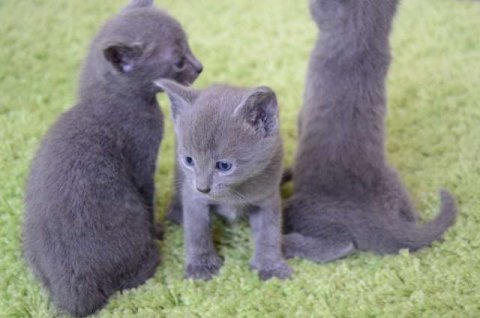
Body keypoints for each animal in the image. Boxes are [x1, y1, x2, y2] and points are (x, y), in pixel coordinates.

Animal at [23, 1, 202, 316]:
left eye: (189, 48)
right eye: (179, 62)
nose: (199, 66)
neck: (107, 99)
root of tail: (72, 294)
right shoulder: (143, 161)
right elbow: (148, 198)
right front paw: (158, 230)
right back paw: (153, 255)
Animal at [158, 79, 292, 280]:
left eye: (223, 166)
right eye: (189, 160)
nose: (203, 188)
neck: (232, 194)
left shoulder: (268, 198)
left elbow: (269, 232)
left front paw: (271, 266)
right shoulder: (193, 197)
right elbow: (196, 230)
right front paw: (201, 265)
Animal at [284, 0, 460, 262]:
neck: (358, 51)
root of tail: (377, 218)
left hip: (303, 208)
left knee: (339, 244)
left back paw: (288, 244)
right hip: (392, 180)